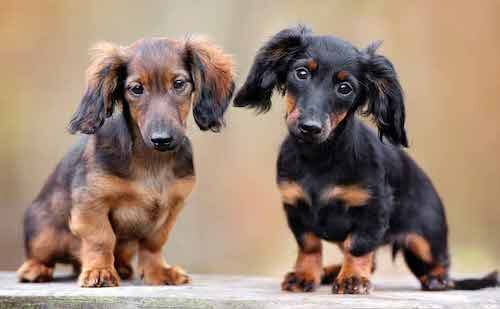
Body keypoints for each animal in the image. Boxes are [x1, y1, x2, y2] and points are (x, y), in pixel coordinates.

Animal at [16, 36, 234, 286]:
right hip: (44, 235)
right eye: (136, 89)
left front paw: (159, 272)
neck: (152, 160)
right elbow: (101, 238)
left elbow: (153, 242)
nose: (162, 139)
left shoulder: (172, 206)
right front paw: (100, 271)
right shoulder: (91, 202)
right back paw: (35, 269)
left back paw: (121, 267)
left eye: (179, 83)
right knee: (40, 255)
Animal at [233, 26, 496, 294]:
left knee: (439, 263)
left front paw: (352, 279)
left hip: (425, 239)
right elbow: (309, 245)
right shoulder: (295, 206)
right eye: (302, 73)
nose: (310, 127)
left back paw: (437, 279)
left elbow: (358, 247)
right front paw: (305, 275)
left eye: (345, 88)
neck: (320, 157)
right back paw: (330, 271)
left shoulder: (372, 210)